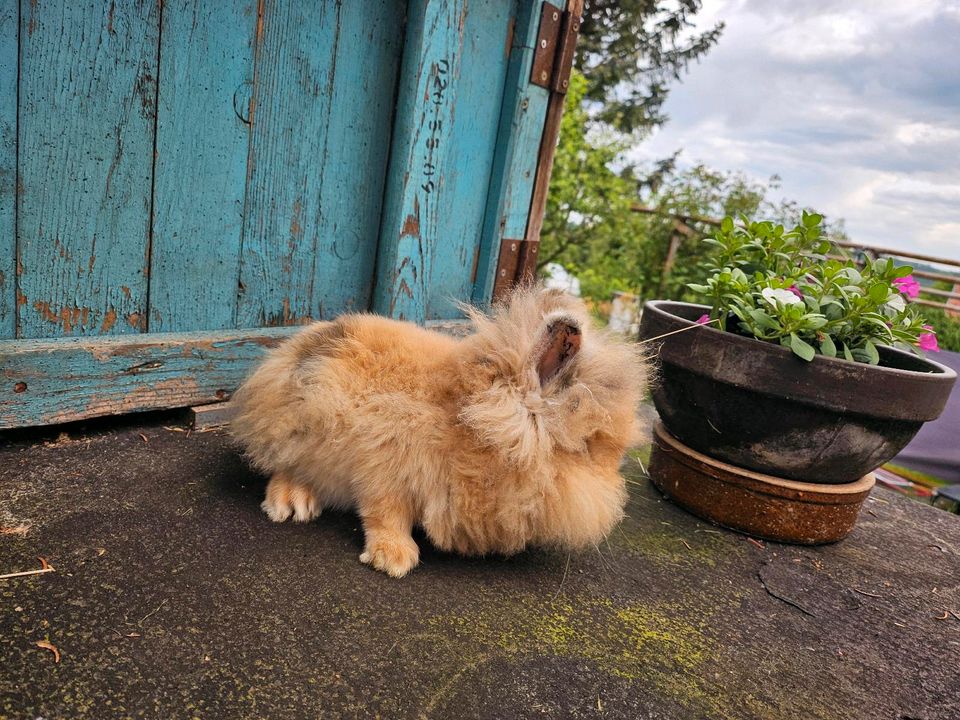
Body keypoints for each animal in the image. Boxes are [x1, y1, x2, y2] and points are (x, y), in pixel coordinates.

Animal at [232, 284, 648, 576]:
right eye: (587, 447)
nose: (616, 481)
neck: (471, 425)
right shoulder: (382, 465)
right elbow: (384, 513)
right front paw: (394, 559)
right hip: (301, 425)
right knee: (281, 466)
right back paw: (290, 504)